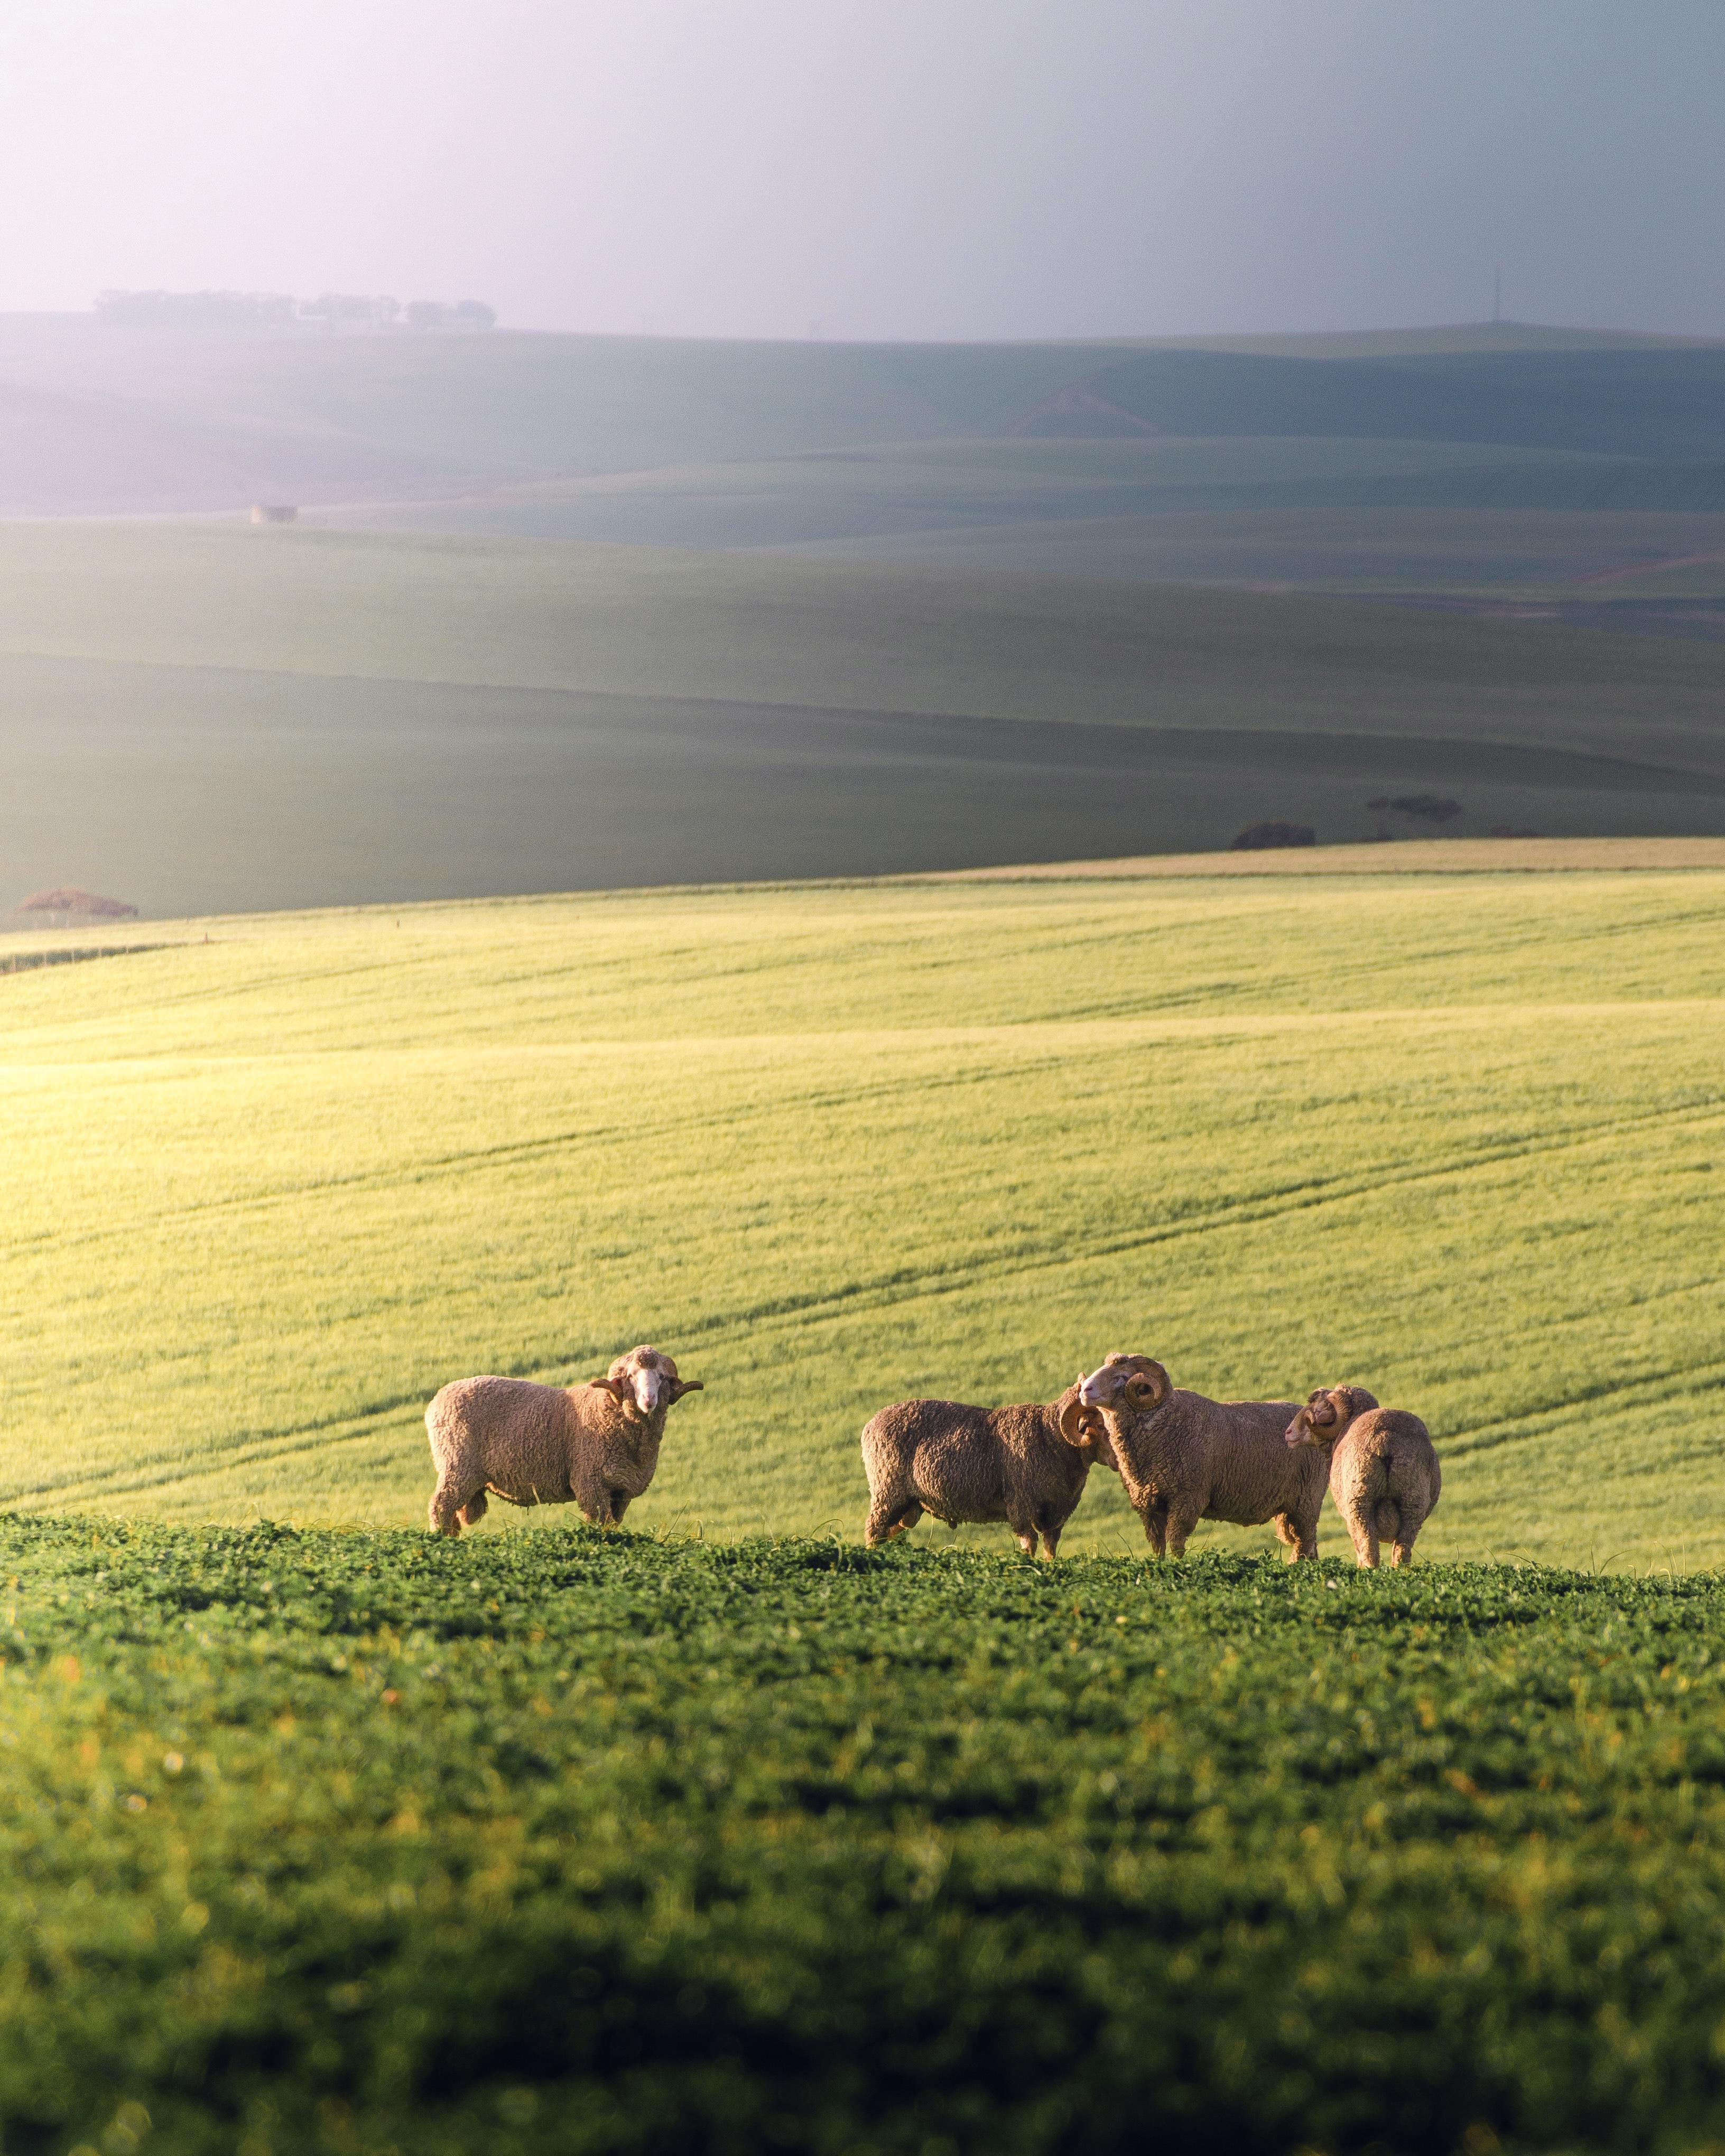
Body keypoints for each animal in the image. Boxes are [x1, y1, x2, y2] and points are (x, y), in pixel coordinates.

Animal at [426, 1344, 702, 1537]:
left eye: (662, 1377)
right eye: (631, 1377)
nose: (648, 1401)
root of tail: (436, 1400)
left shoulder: (621, 1491)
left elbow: (613, 1525)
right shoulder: (591, 1484)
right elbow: (601, 1525)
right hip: (458, 1466)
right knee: (441, 1506)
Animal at [860, 1383, 1118, 1559]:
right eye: (1098, 1424)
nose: (1119, 1459)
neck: (1049, 1438)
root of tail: (871, 1424)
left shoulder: (1057, 1514)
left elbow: (1050, 1548)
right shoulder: (1021, 1505)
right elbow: (1029, 1544)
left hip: (909, 1506)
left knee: (888, 1534)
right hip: (887, 1492)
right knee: (874, 1532)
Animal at [1065, 1352, 1337, 1560]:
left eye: (1121, 1377)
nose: (1085, 1390)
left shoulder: (1187, 1497)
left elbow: (1175, 1543)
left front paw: (1179, 1567)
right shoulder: (1149, 1505)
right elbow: (1158, 1547)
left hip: (1307, 1500)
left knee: (1304, 1543)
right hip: (1288, 1508)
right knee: (1308, 1546)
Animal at [1285, 1387, 1439, 1568]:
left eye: (1317, 1411)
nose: (1288, 1433)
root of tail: (1386, 1439)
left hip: (1359, 1503)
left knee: (1367, 1548)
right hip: (1413, 1503)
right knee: (1402, 1551)